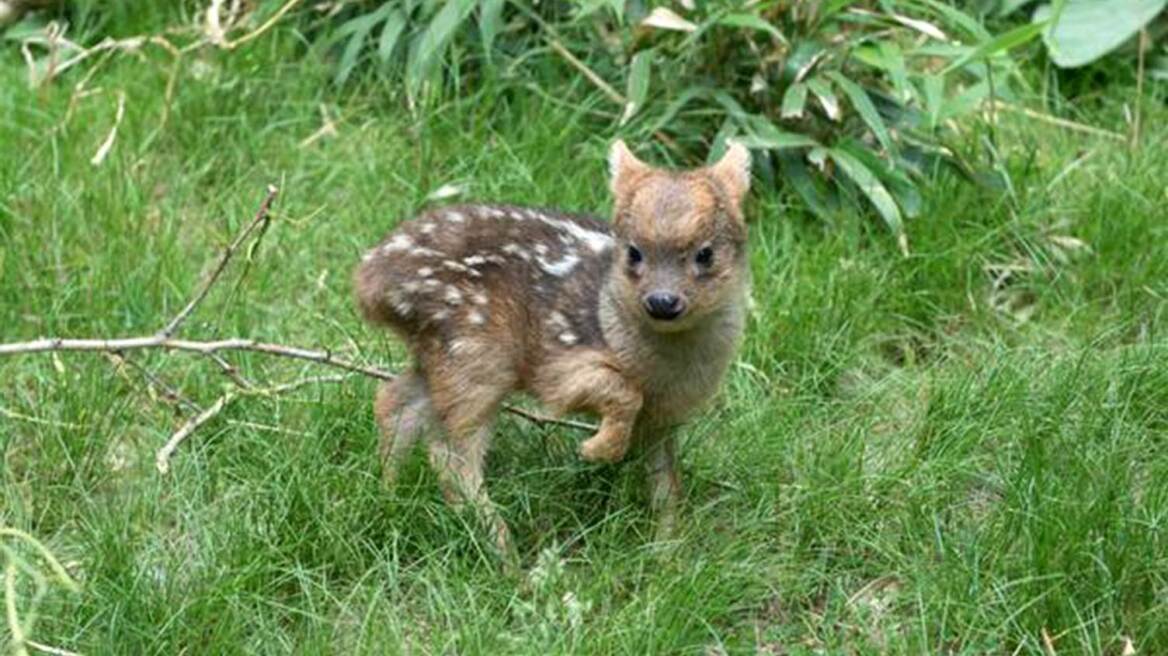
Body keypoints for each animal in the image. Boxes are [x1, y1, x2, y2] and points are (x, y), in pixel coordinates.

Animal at [355, 138, 752, 550]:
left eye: (705, 253)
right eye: (633, 252)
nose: (662, 302)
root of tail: (370, 281)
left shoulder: (666, 415)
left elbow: (666, 481)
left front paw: (667, 547)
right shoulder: (559, 363)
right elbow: (621, 392)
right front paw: (596, 449)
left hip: (440, 350)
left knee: (394, 401)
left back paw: (388, 495)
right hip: (478, 350)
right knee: (450, 454)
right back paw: (506, 553)